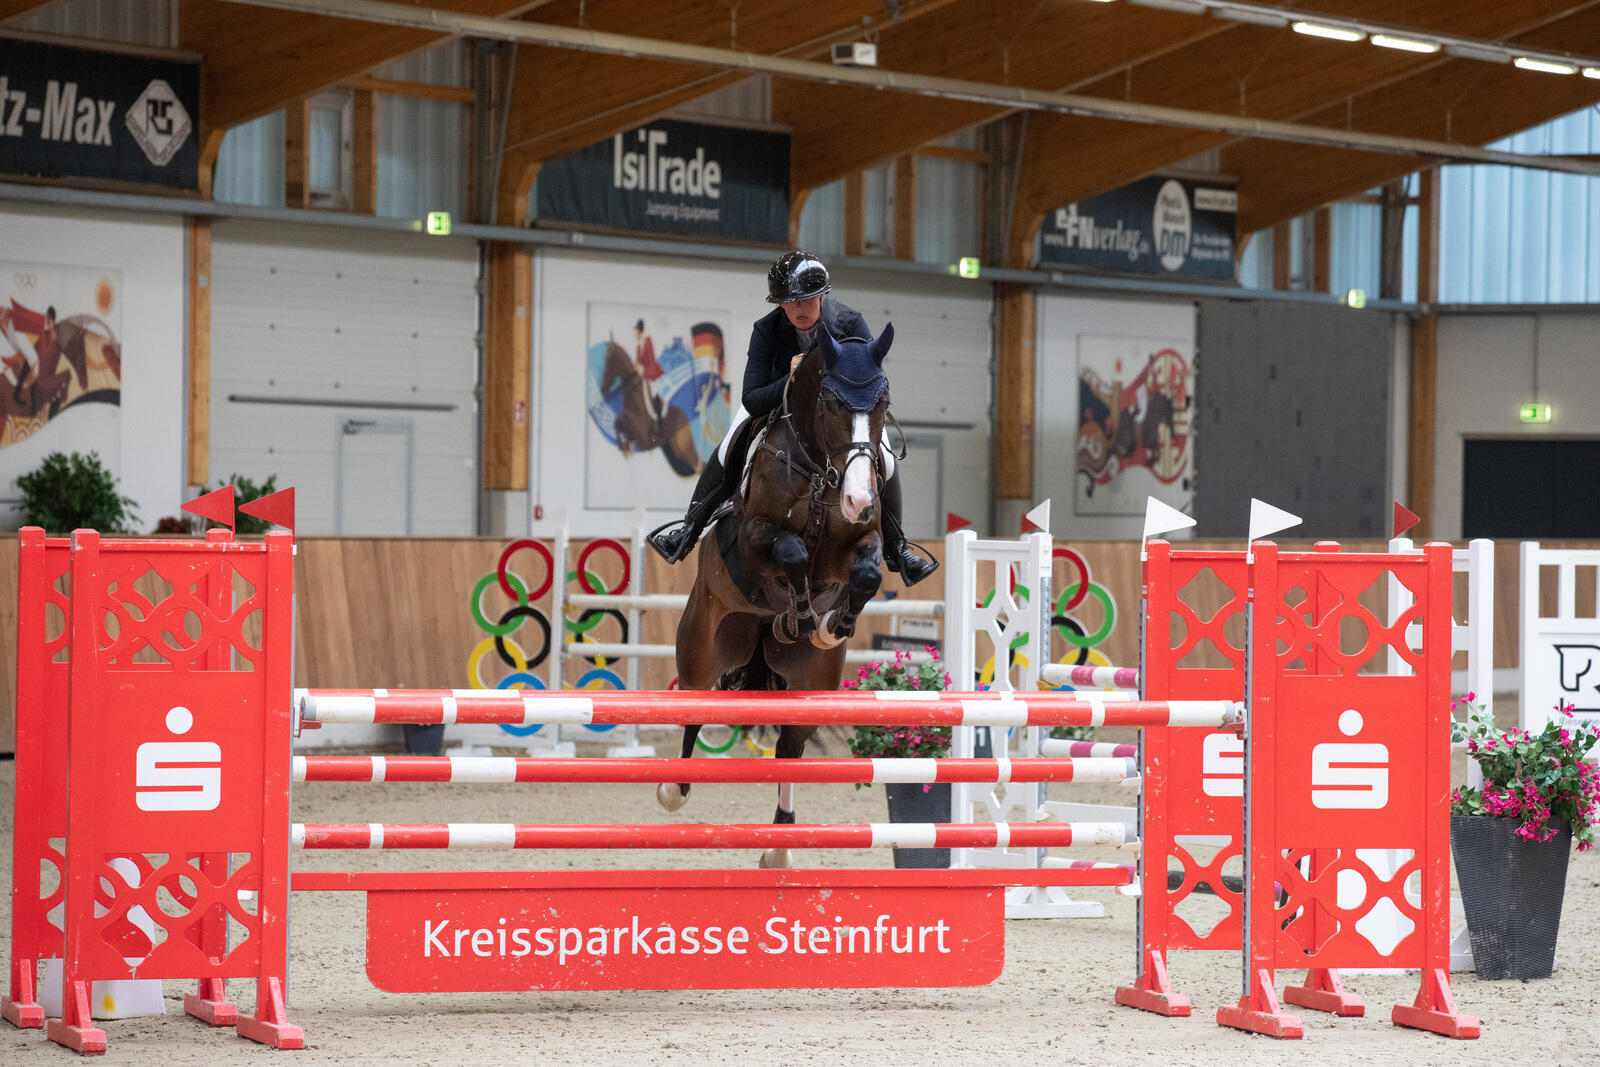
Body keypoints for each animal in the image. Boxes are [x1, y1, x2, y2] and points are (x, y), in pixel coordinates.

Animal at [597, 340, 701, 476]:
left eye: (609, 362)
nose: (602, 388)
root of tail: (684, 416)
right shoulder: (628, 427)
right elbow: (617, 425)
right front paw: (624, 448)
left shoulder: (643, 438)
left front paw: (626, 448)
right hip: (678, 451)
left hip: (684, 448)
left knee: (699, 464)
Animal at [656, 325, 897, 868]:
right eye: (830, 402)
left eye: (883, 403)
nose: (859, 500)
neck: (822, 471)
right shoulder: (754, 541)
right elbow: (790, 551)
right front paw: (803, 612)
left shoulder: (863, 541)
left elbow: (867, 574)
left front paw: (829, 625)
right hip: (702, 644)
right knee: (695, 704)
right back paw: (673, 789)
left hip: (813, 682)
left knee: (790, 744)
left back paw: (780, 847)